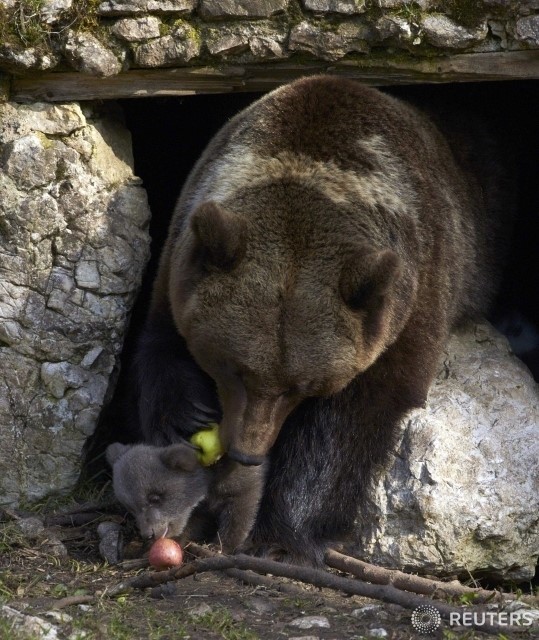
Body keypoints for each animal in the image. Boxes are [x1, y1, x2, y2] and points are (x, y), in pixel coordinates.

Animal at [130, 76, 510, 560]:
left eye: (302, 386)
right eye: (232, 368)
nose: (248, 451)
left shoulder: (412, 295)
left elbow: (352, 419)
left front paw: (285, 529)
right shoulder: (182, 255)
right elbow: (161, 342)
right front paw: (188, 416)